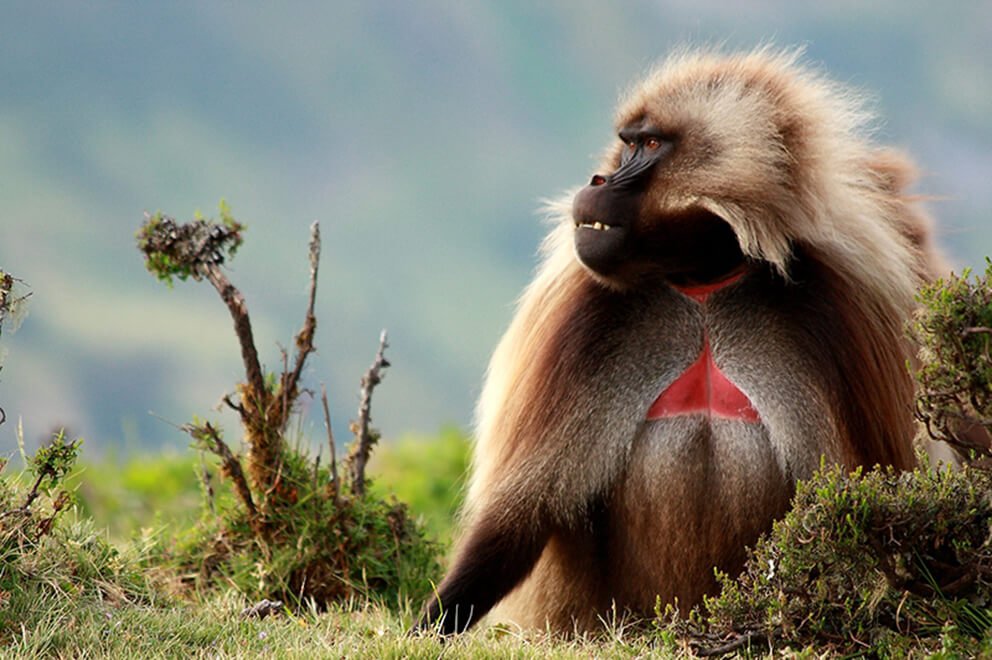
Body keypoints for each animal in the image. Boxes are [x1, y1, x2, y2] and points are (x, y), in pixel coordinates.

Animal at [416, 47, 938, 636]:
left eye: (648, 145)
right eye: (627, 142)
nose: (598, 179)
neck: (703, 281)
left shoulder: (837, 317)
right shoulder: (583, 320)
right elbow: (522, 515)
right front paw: (431, 624)